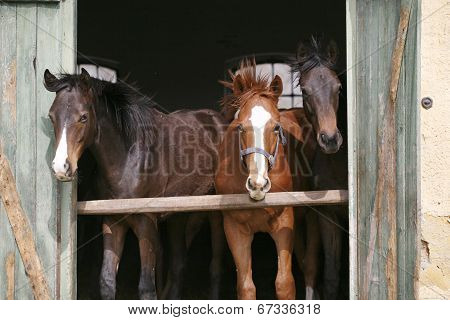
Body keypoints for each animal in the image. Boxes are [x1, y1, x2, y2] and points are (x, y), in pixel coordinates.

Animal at [44, 69, 229, 298]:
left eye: (83, 117)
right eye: (51, 116)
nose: (61, 167)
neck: (128, 159)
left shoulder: (146, 222)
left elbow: (146, 286)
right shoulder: (113, 222)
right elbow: (107, 281)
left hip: (216, 213)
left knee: (215, 267)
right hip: (178, 215)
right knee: (178, 266)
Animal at [216, 60, 304, 300]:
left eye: (276, 126)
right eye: (240, 127)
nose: (258, 184)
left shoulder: (285, 222)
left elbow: (285, 284)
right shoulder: (235, 228)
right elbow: (246, 287)